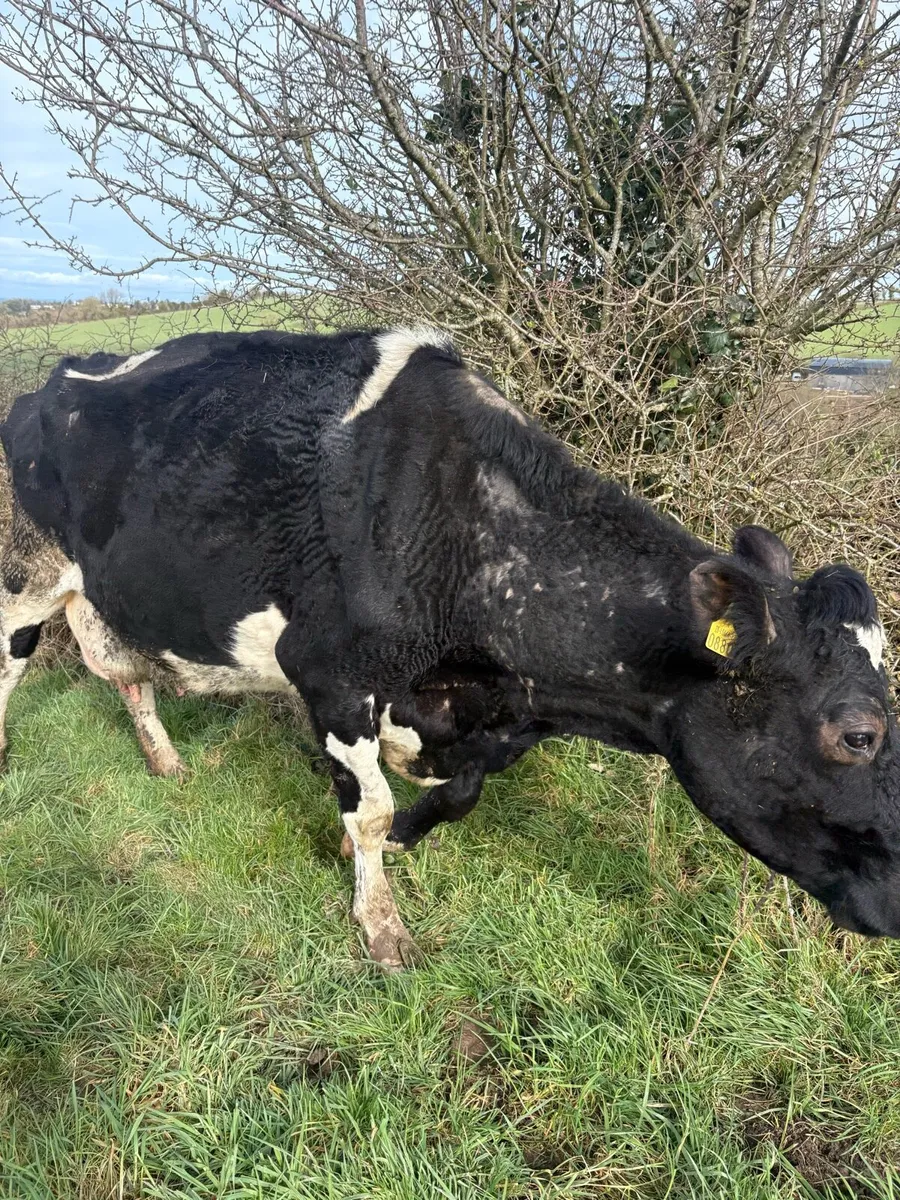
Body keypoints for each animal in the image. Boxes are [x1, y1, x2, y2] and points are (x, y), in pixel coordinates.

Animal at [1, 327, 899, 968]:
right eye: (860, 734)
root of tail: (51, 379)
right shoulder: (329, 674)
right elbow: (369, 807)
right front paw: (380, 924)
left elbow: (455, 795)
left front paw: (395, 841)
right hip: (24, 570)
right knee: (11, 658)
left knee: (126, 674)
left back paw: (165, 762)